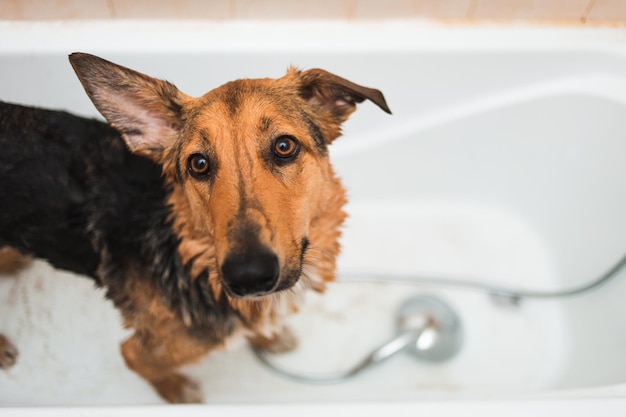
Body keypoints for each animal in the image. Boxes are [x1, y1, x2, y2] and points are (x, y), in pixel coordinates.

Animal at [0, 53, 390, 402]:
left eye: (284, 146)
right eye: (198, 164)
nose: (248, 277)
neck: (185, 248)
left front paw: (267, 336)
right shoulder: (145, 347)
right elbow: (137, 360)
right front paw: (176, 391)